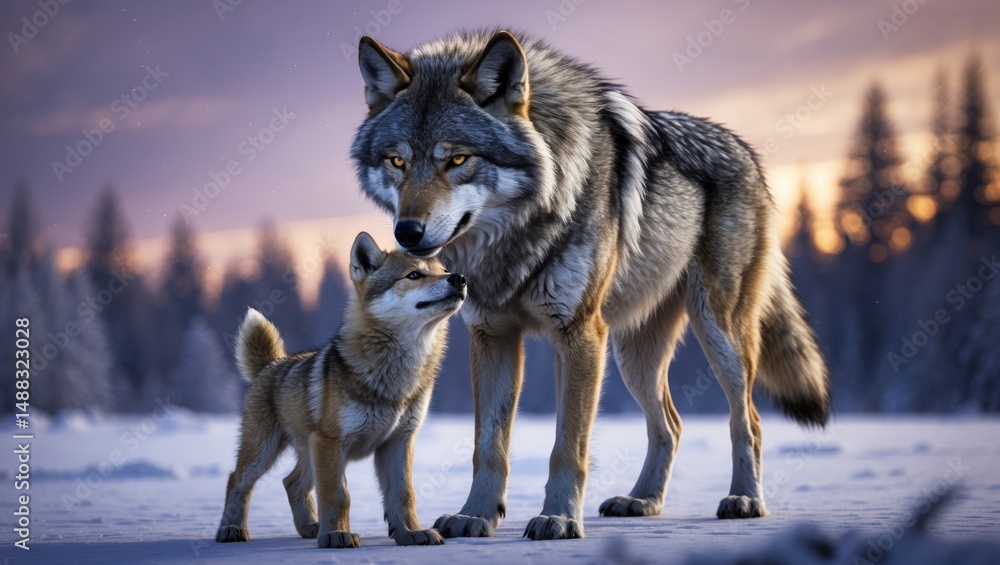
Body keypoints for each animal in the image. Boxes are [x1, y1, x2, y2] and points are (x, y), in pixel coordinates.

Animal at [215, 231, 466, 548]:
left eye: (443, 271)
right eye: (414, 275)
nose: (460, 278)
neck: (396, 376)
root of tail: (271, 364)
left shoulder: (398, 441)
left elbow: (403, 494)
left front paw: (411, 532)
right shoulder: (331, 443)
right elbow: (338, 495)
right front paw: (337, 535)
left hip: (308, 454)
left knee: (291, 482)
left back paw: (310, 527)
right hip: (266, 450)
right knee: (236, 480)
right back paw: (231, 529)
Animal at [351, 30, 830, 540]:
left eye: (458, 159)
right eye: (397, 161)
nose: (406, 232)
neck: (520, 234)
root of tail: (746, 150)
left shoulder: (580, 334)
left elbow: (568, 446)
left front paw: (559, 518)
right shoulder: (493, 335)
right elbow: (489, 445)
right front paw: (476, 515)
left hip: (718, 338)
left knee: (749, 420)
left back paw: (745, 499)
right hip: (632, 356)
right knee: (672, 425)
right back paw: (642, 500)